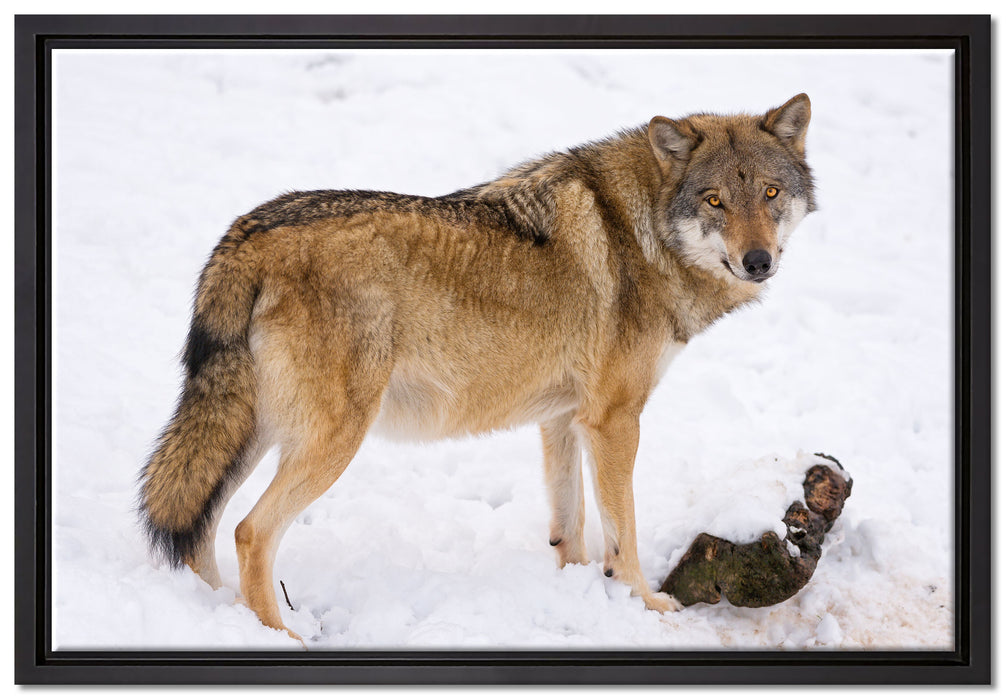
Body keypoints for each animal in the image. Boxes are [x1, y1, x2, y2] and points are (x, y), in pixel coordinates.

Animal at [139, 94, 814, 641]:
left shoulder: (565, 418)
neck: (642, 228)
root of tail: (244, 234)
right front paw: (643, 607)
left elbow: (571, 526)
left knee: (202, 530)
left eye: (770, 194)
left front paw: (579, 596)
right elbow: (623, 533)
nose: (758, 261)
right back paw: (284, 638)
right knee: (249, 532)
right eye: (715, 201)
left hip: (254, 434)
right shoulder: (614, 421)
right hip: (330, 439)